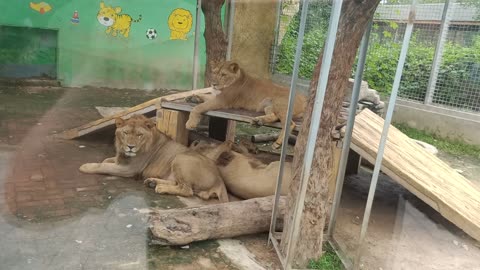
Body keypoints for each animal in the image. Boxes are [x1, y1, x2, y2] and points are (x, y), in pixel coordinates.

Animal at [79, 114, 229, 202]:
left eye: (139, 135)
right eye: (126, 133)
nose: (130, 147)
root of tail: (220, 180)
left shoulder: (129, 169)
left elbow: (103, 165)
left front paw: (85, 166)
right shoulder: (120, 160)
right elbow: (106, 161)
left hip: (180, 158)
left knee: (187, 190)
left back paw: (160, 188)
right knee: (177, 183)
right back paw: (152, 182)